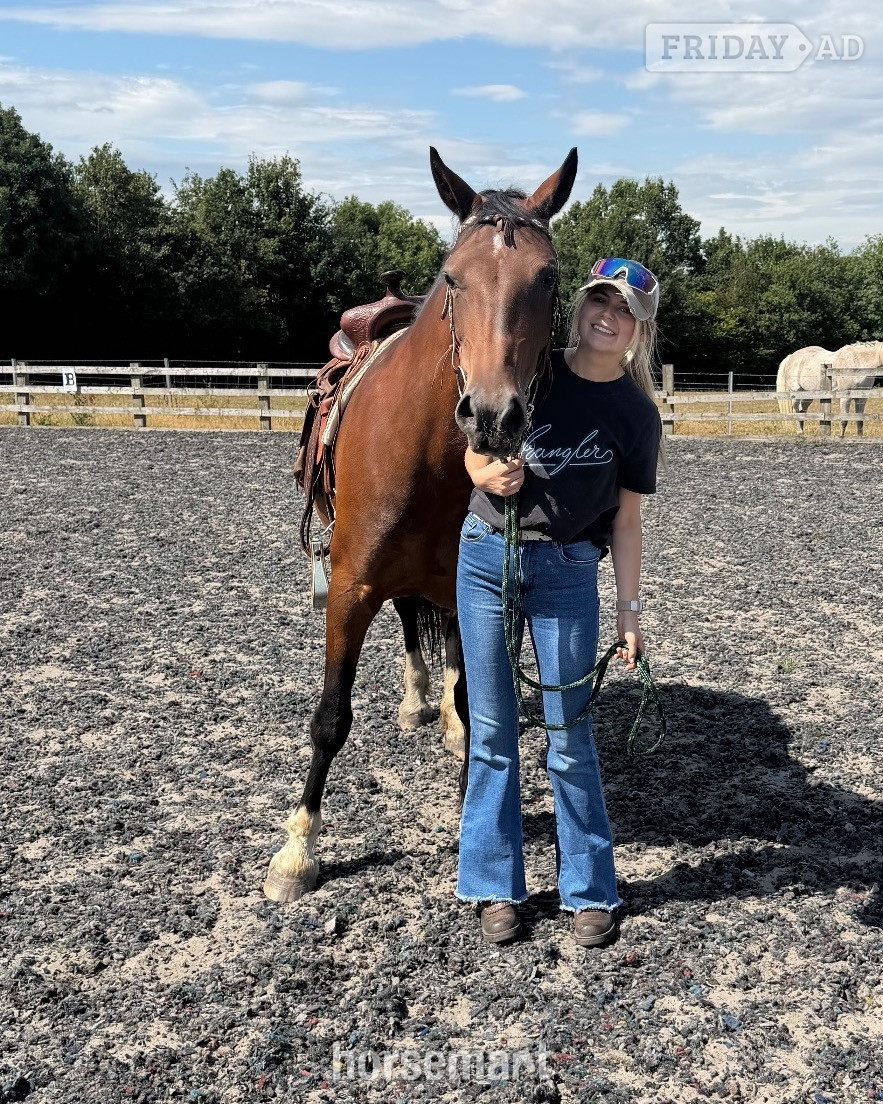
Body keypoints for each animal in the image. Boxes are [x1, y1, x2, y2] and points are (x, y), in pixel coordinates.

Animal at [263, 146, 579, 903]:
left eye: (547, 277)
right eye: (455, 278)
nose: (492, 415)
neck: (422, 455)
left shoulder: (472, 588)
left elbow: (476, 692)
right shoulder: (348, 588)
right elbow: (330, 718)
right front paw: (296, 852)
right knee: (409, 619)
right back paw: (415, 704)